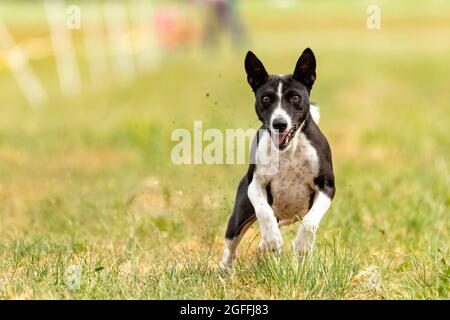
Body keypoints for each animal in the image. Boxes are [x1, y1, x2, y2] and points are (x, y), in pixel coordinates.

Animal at [221, 48, 334, 270]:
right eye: (266, 98)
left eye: (295, 97)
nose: (279, 123)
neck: (289, 151)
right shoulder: (255, 184)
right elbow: (264, 211)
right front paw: (273, 240)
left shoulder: (327, 187)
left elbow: (310, 222)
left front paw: (302, 246)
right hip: (239, 215)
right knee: (231, 246)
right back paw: (226, 267)